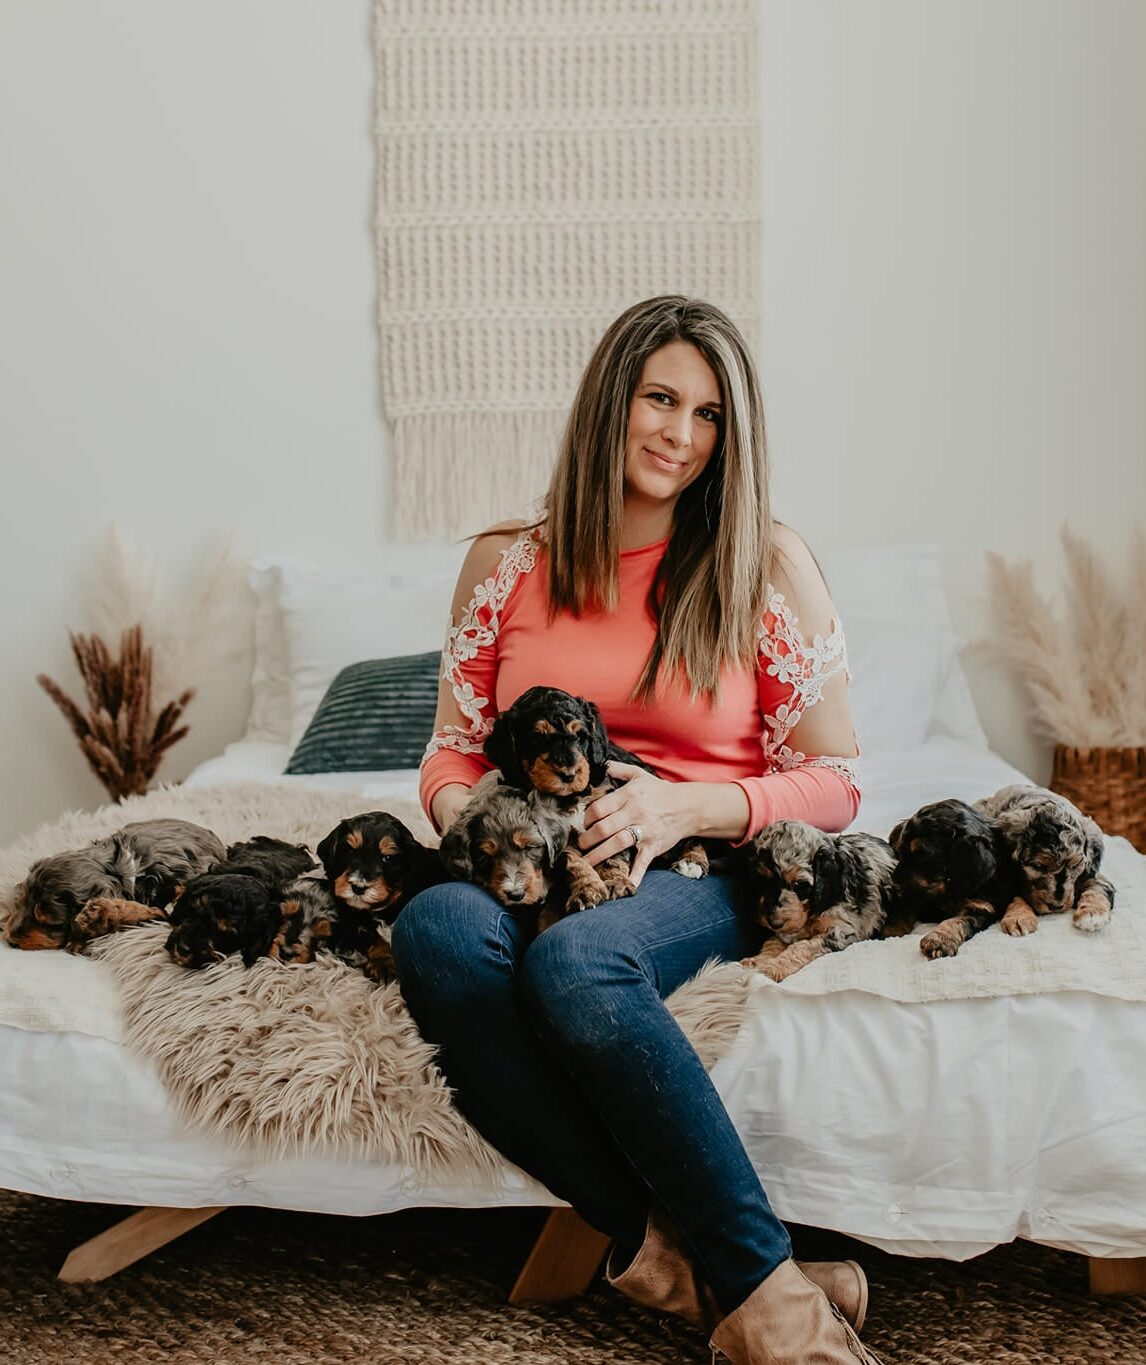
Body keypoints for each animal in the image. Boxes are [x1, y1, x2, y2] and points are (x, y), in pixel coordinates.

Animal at [736, 819, 900, 982]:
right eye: (761, 880)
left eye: (799, 885)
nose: (774, 923)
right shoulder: (785, 931)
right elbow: (772, 943)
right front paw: (756, 961)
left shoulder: (840, 930)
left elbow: (801, 947)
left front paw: (773, 968)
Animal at [884, 797, 1020, 960]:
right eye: (901, 852)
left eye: (923, 854)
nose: (892, 887)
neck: (948, 889)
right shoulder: (914, 894)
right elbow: (904, 908)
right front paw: (890, 931)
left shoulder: (982, 907)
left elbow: (958, 920)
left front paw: (939, 940)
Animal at [971, 791, 1113, 939]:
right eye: (1038, 866)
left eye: (1074, 867)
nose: (1056, 907)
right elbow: (1016, 894)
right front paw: (1019, 917)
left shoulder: (1093, 874)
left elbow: (1098, 887)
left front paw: (1093, 915)